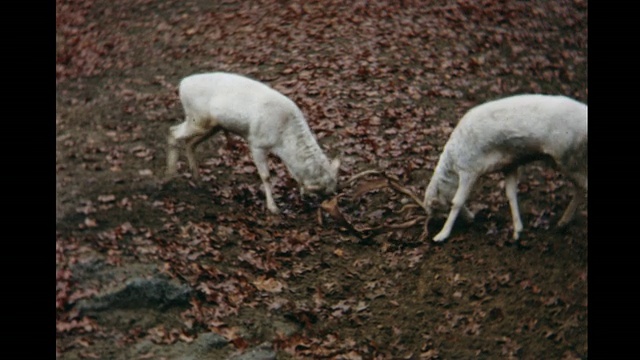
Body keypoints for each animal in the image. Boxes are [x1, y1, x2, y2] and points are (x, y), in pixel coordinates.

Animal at [168, 72, 342, 215]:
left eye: (332, 191)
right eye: (321, 194)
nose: (324, 208)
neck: (282, 142)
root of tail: (182, 84)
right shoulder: (256, 143)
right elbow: (266, 176)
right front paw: (273, 208)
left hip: (211, 126)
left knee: (190, 143)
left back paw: (197, 179)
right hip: (197, 119)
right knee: (173, 132)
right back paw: (169, 178)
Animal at [422, 94, 588, 243]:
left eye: (440, 209)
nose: (471, 218)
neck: (454, 165)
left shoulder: (470, 169)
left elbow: (458, 200)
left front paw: (441, 235)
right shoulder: (509, 165)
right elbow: (510, 194)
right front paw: (517, 231)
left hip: (567, 158)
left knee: (583, 185)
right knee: (580, 186)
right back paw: (562, 223)